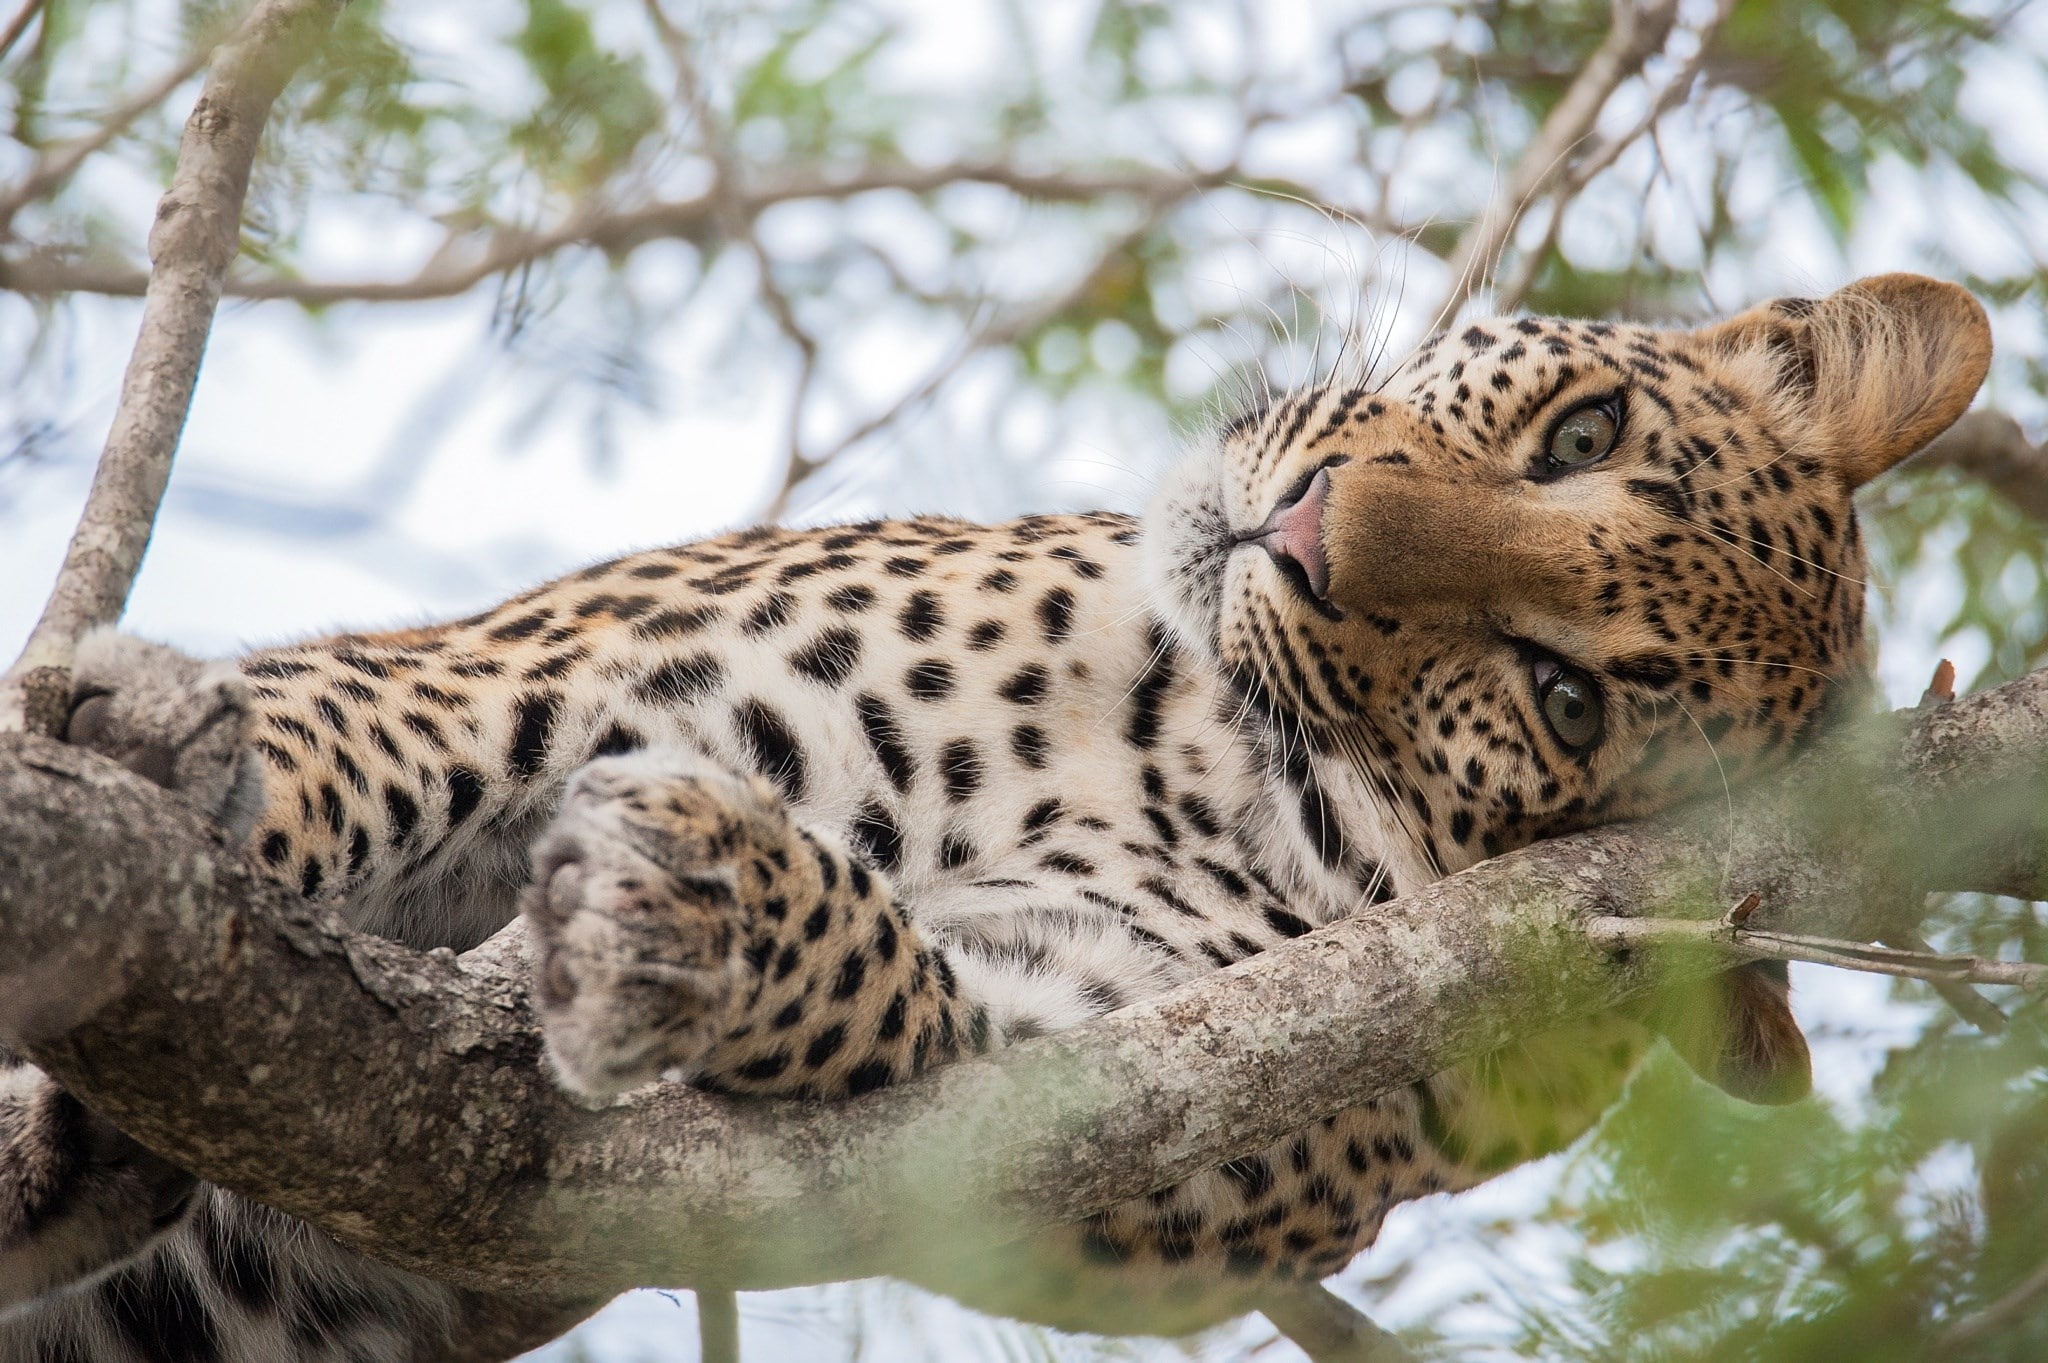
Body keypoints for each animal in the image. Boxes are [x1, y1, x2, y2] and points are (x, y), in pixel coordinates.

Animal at [0, 273, 1992, 1361]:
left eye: (1563, 694)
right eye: (1575, 433)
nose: (1306, 530)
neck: (1177, 742)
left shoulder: (1101, 1103)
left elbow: (900, 996)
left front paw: (693, 909)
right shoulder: (552, 675)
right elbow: (358, 732)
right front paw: (164, 745)